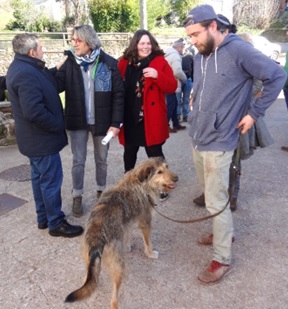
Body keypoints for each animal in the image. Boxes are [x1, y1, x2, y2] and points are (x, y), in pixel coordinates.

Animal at [65, 158, 177, 306]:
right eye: (159, 172)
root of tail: (96, 238)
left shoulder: (126, 223)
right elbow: (148, 243)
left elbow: (127, 235)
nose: (176, 178)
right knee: (113, 297)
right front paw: (151, 254)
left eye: (167, 167)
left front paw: (127, 246)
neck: (140, 182)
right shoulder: (145, 222)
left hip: (89, 261)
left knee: (88, 279)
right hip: (119, 266)